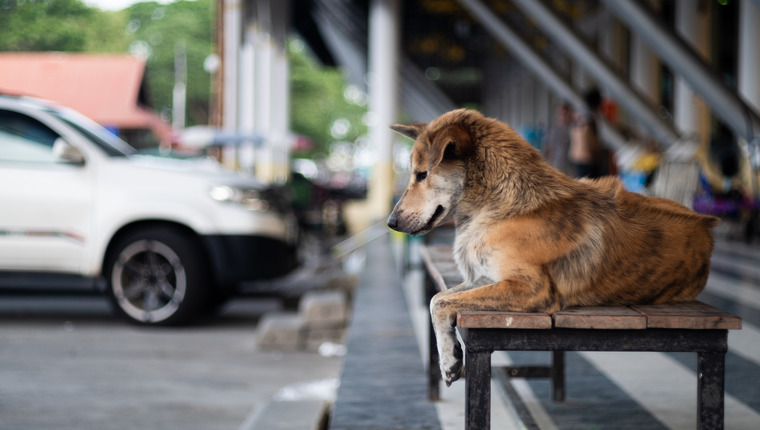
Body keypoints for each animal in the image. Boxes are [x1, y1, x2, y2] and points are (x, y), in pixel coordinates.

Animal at [386, 108, 720, 386]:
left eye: (421, 174)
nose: (391, 222)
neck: (503, 205)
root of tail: (707, 224)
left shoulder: (531, 287)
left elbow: (443, 303)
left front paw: (450, 362)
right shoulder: (482, 279)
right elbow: (437, 300)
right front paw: (450, 356)